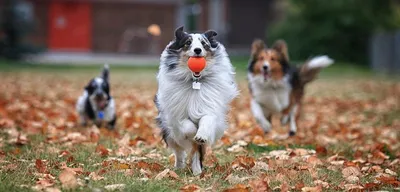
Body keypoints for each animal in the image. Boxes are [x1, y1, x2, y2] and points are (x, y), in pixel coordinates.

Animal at [155, 26, 238, 175]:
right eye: (188, 42)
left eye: (204, 43)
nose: (197, 50)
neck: (194, 80)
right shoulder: (175, 116)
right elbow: (187, 126)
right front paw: (193, 130)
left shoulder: (210, 107)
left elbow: (206, 120)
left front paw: (200, 135)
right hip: (169, 133)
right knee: (179, 151)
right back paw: (179, 167)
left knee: (196, 152)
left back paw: (197, 172)